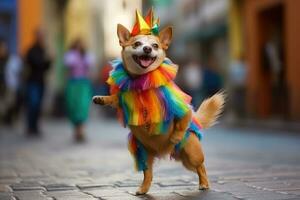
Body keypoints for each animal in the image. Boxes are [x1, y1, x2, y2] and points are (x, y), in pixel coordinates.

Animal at [92, 9, 224, 195]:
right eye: (137, 44)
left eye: (155, 46)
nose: (147, 48)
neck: (141, 82)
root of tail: (162, 151)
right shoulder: (123, 99)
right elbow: (115, 98)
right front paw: (101, 98)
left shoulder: (183, 108)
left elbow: (182, 120)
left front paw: (175, 136)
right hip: (146, 155)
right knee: (148, 174)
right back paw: (143, 188)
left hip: (192, 155)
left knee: (201, 167)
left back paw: (204, 183)